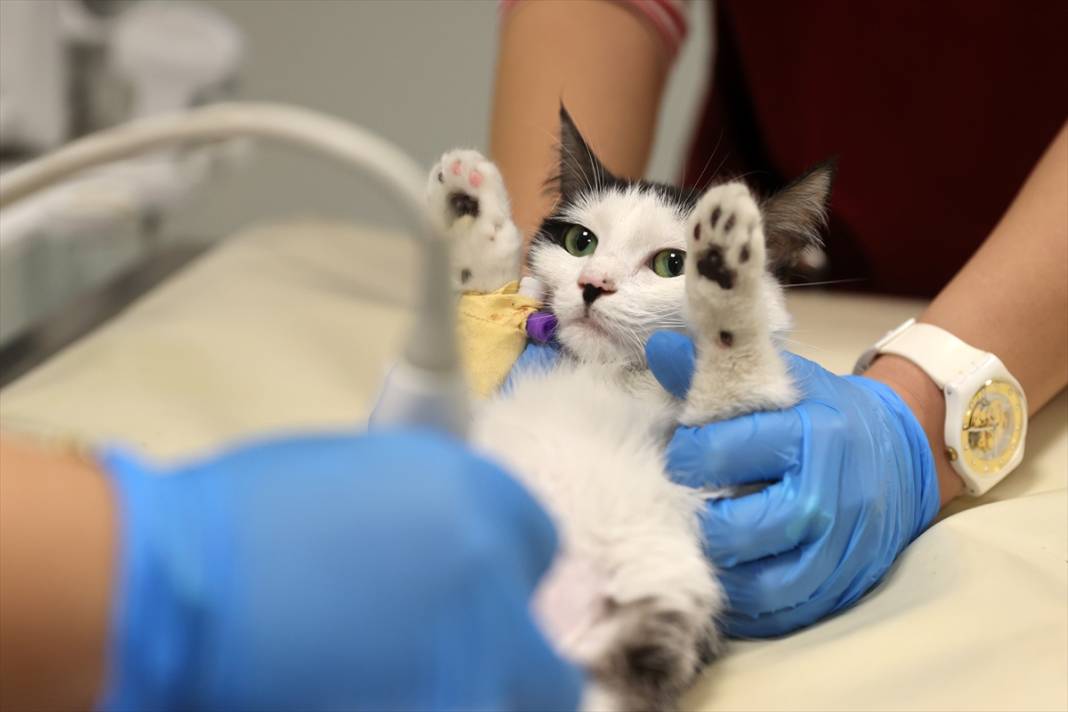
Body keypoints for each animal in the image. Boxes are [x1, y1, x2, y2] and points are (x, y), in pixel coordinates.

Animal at [425, 107, 833, 712]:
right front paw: (472, 215)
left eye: (671, 262)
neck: (615, 373)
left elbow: (740, 381)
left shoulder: (737, 471)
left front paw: (727, 272)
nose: (594, 284)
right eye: (580, 240)